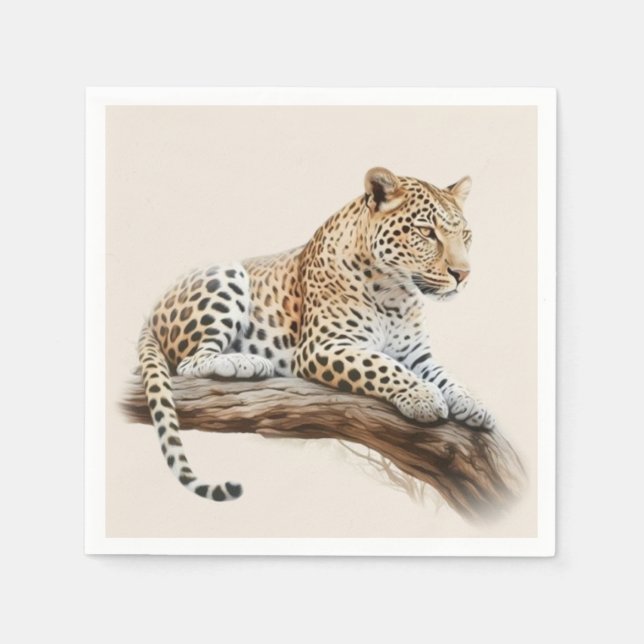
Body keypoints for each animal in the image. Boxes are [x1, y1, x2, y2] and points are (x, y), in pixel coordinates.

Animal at [137, 166, 495, 502]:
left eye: (466, 235)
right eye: (426, 232)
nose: (463, 274)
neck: (396, 293)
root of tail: (152, 310)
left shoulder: (417, 355)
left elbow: (445, 376)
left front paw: (473, 404)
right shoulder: (322, 346)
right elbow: (382, 366)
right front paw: (422, 397)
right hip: (227, 273)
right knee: (189, 361)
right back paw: (244, 362)